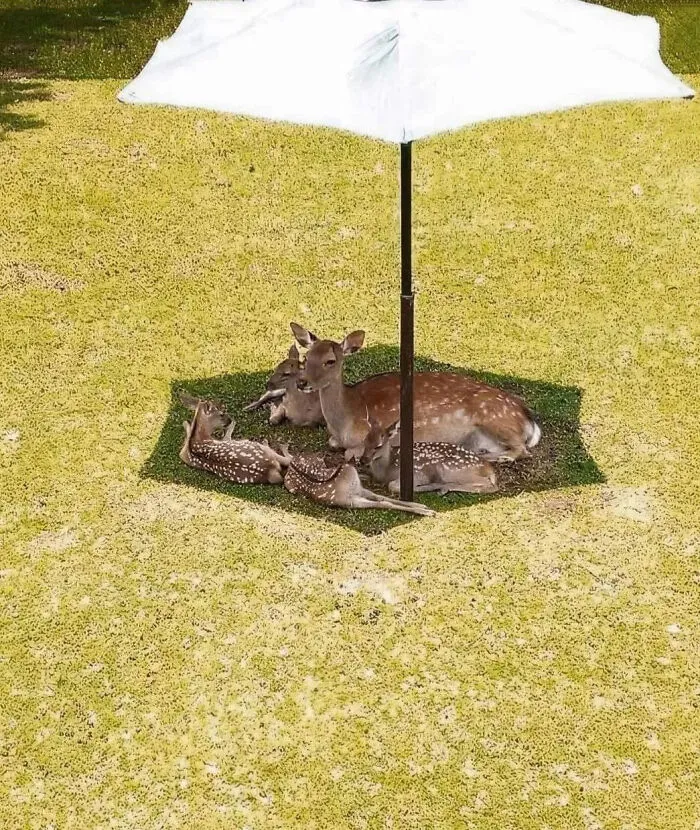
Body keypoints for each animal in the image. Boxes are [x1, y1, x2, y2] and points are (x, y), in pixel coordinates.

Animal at [283, 453, 434, 516]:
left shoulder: (360, 490)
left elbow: (381, 497)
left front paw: (421, 506)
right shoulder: (353, 502)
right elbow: (383, 503)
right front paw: (426, 511)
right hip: (292, 488)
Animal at [290, 323, 541, 463]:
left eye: (330, 361)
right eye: (307, 356)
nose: (302, 382)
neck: (345, 422)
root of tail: (528, 420)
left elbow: (349, 453)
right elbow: (333, 444)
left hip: (494, 416)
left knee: (522, 449)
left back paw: (500, 459)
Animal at [362, 419, 498, 496]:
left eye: (378, 446)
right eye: (365, 441)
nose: (363, 460)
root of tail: (488, 468)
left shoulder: (417, 473)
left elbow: (392, 486)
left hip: (450, 470)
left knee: (490, 485)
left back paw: (443, 488)